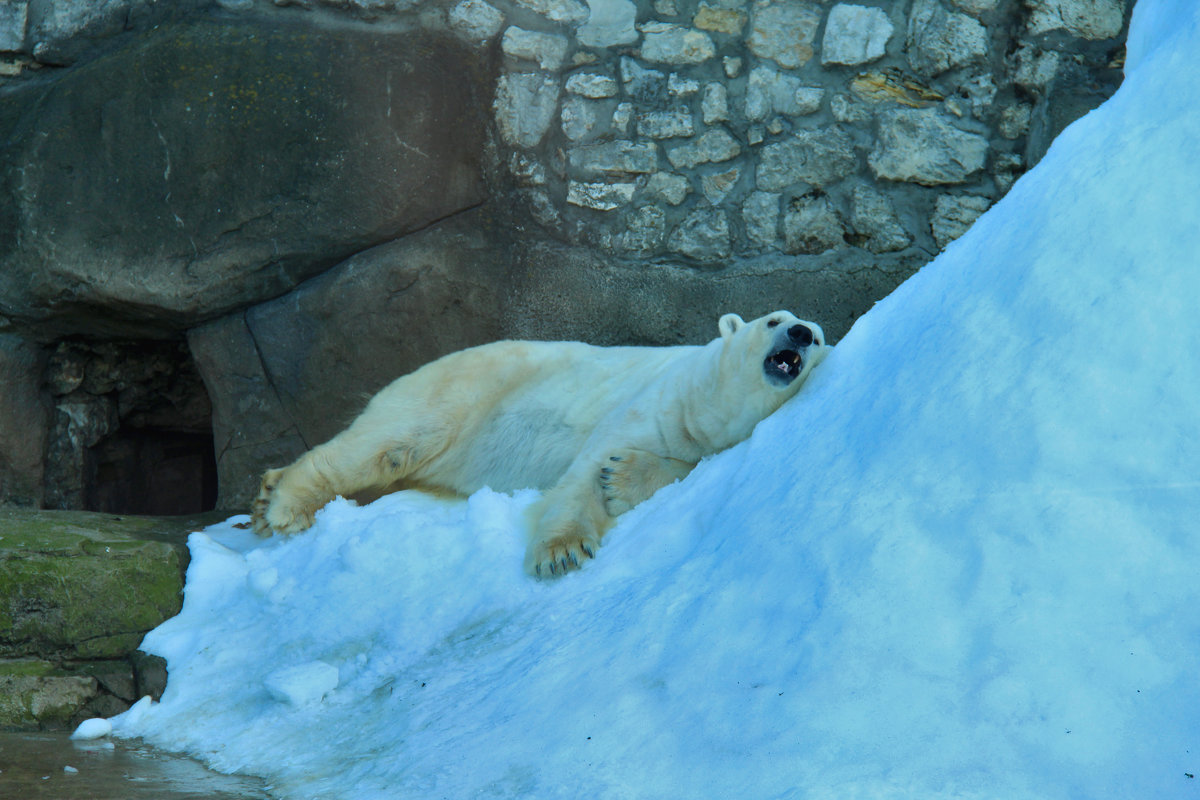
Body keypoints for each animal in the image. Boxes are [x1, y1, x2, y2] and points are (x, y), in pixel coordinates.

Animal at [249, 309, 830, 578]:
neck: (708, 404)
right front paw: (563, 551)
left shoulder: (706, 438)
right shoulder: (661, 397)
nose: (801, 333)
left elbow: (670, 467)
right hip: (458, 392)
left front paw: (623, 478)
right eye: (774, 319)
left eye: (820, 337)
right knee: (389, 443)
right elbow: (586, 469)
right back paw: (286, 505)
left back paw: (265, 498)